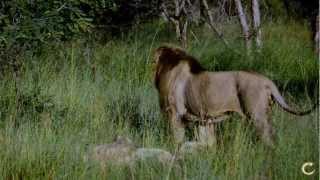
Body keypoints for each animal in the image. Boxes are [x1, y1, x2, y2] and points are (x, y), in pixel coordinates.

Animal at [154, 45, 316, 148]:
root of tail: (267, 80)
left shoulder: (175, 115)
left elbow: (177, 142)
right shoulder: (203, 120)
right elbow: (206, 143)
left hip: (258, 117)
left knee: (271, 142)